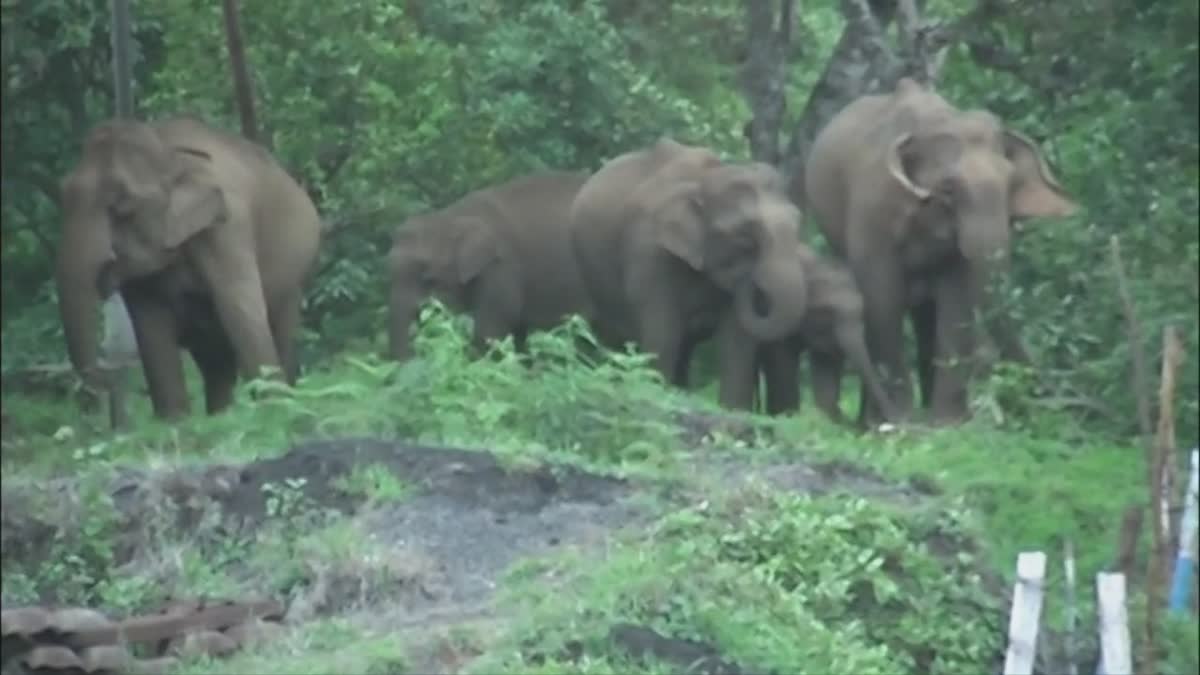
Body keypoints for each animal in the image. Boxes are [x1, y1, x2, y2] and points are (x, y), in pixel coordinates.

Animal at [55, 115, 322, 421]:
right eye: (62, 195)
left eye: (123, 207)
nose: (104, 379)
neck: (168, 150)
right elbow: (151, 326)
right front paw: (174, 421)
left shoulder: (228, 227)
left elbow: (239, 309)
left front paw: (275, 410)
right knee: (215, 363)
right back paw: (220, 415)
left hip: (294, 279)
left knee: (281, 329)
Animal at [568, 138, 810, 411]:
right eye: (745, 238)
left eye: (798, 223)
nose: (754, 283)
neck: (705, 179)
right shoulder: (649, 252)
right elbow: (663, 335)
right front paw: (654, 400)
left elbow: (736, 343)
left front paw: (732, 412)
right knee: (617, 338)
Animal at [757, 243, 900, 428]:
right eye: (828, 312)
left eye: (862, 313)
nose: (896, 420)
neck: (815, 266)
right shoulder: (779, 316)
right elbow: (783, 359)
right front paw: (788, 418)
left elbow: (826, 366)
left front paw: (831, 422)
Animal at [803, 77, 1078, 425]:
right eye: (948, 189)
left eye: (1011, 183)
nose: (1051, 403)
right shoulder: (871, 212)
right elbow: (882, 298)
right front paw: (902, 420)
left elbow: (956, 299)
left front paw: (949, 423)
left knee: (926, 316)